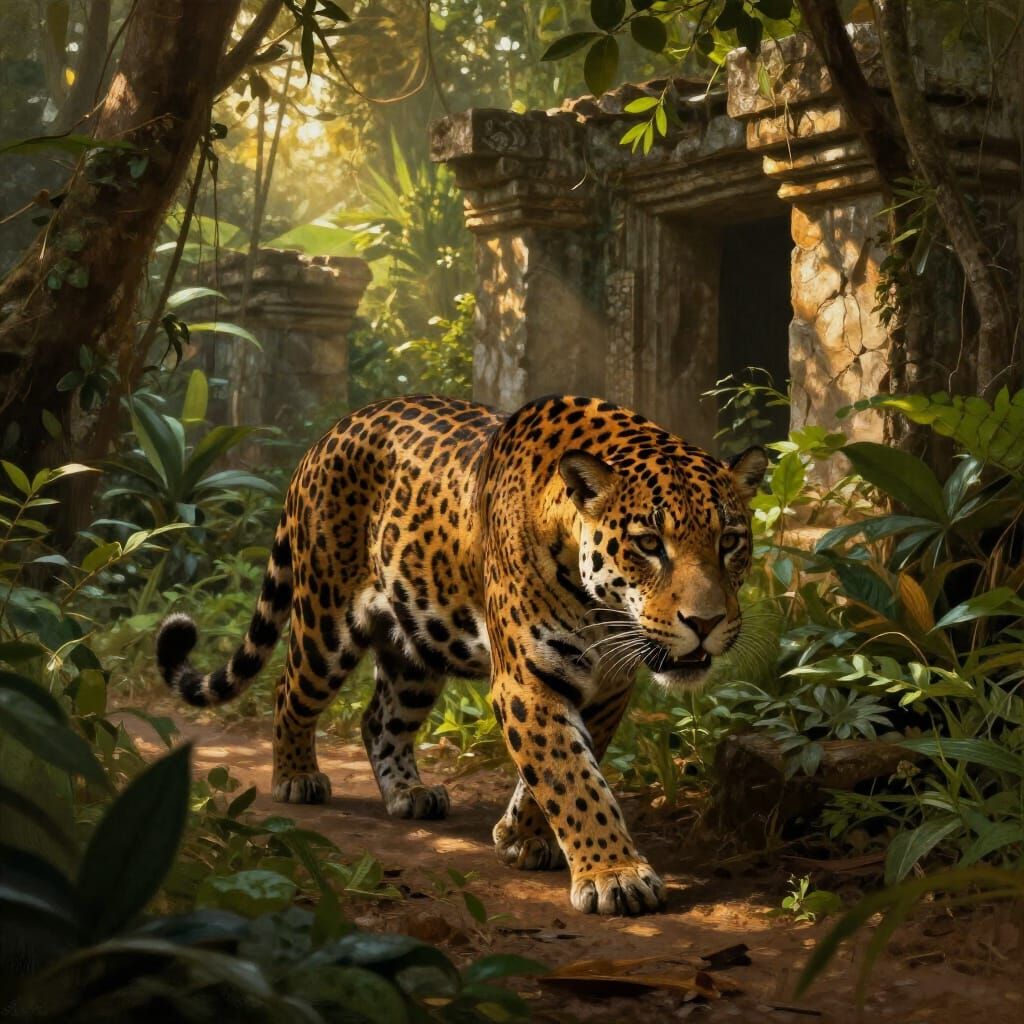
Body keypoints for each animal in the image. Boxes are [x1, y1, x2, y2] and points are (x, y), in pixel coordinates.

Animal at [156, 394, 766, 916]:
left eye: (730, 541)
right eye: (648, 544)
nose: (705, 623)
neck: (602, 610)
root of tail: (332, 431)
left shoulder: (608, 686)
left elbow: (559, 771)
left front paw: (521, 837)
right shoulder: (527, 678)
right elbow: (573, 779)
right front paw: (614, 874)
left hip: (416, 645)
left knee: (379, 718)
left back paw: (409, 792)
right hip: (324, 620)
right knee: (290, 691)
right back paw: (296, 777)